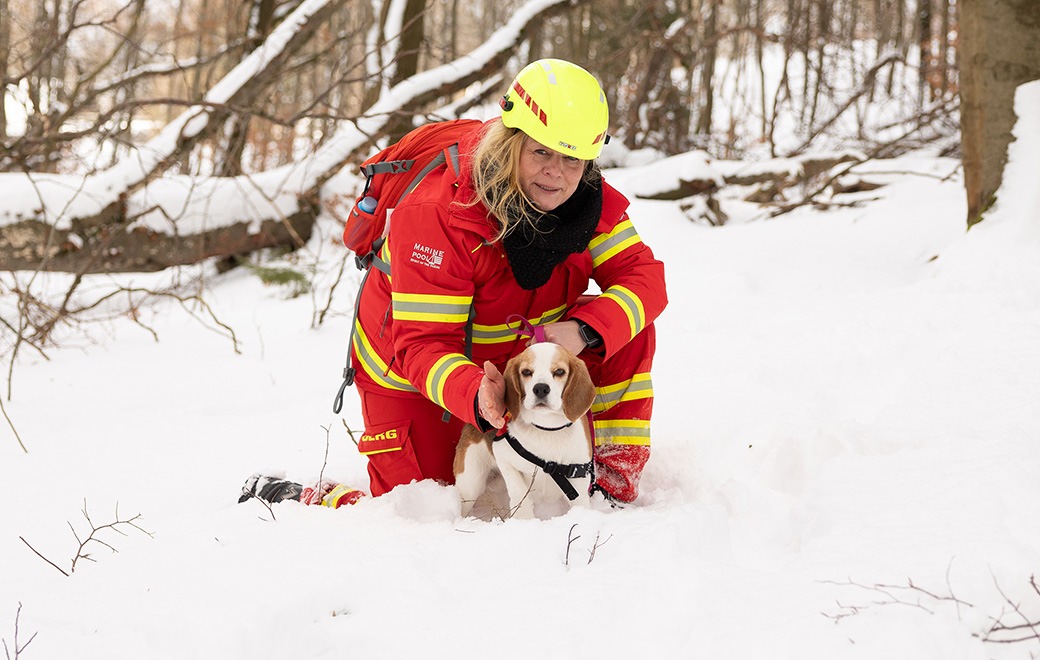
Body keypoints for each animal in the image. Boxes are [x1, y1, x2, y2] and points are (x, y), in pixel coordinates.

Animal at [453, 340, 594, 521]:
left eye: (559, 371)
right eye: (526, 372)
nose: (540, 388)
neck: (546, 429)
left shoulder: (578, 478)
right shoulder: (504, 458)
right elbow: (520, 493)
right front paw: (525, 520)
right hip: (471, 482)